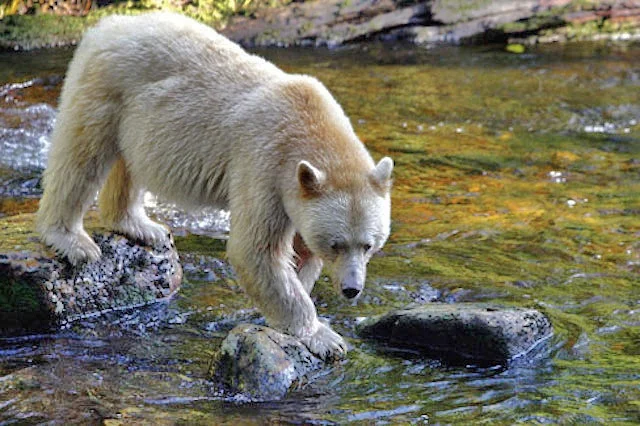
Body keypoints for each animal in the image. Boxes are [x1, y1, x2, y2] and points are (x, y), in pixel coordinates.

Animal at [37, 12, 393, 359]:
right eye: (336, 244)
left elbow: (299, 252)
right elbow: (255, 251)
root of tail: (108, 25)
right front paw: (324, 337)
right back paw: (73, 240)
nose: (352, 289)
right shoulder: (263, 165)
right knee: (81, 158)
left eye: (369, 244)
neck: (309, 124)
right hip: (108, 86)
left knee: (129, 166)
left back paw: (141, 226)